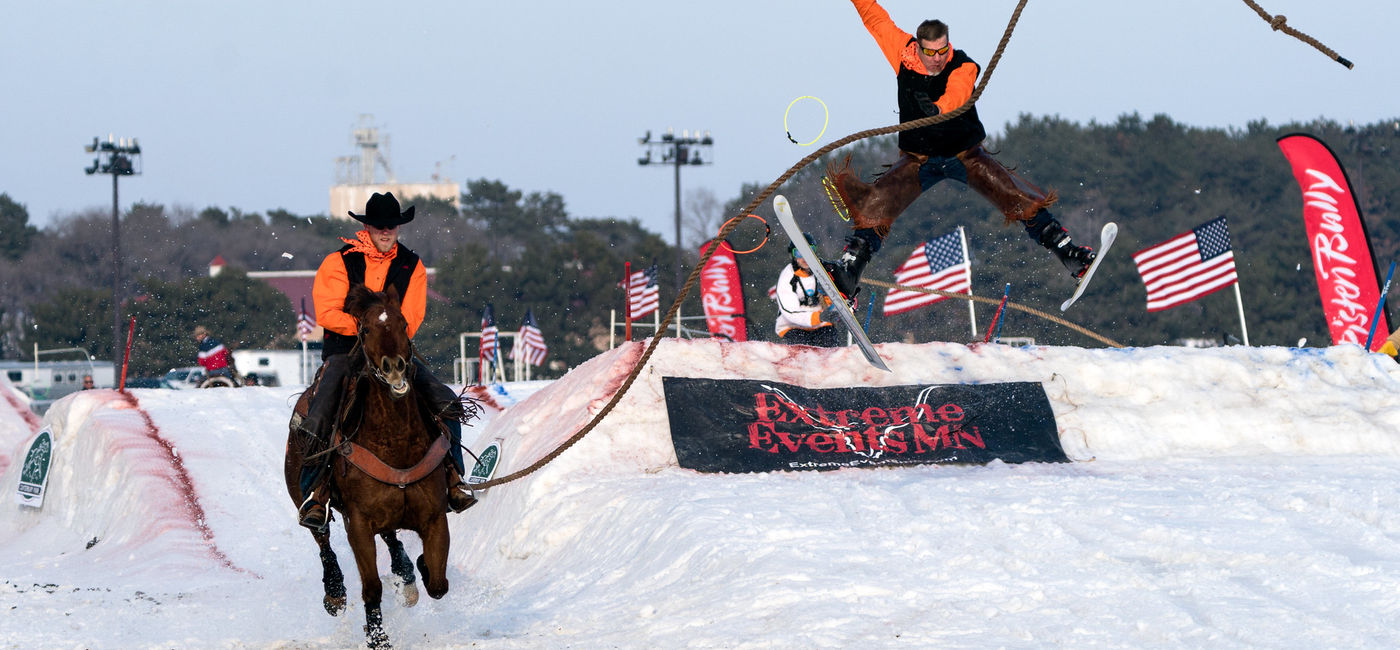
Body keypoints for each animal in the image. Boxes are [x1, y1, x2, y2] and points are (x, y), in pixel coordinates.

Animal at [281, 285, 456, 650]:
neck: (396, 444)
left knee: (392, 539)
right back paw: (334, 592)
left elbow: (437, 581)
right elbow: (371, 586)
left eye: (403, 323)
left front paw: (418, 569)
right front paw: (378, 638)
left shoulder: (434, 517)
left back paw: (406, 573)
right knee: (322, 539)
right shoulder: (358, 523)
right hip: (304, 497)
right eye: (364, 330)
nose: (394, 368)